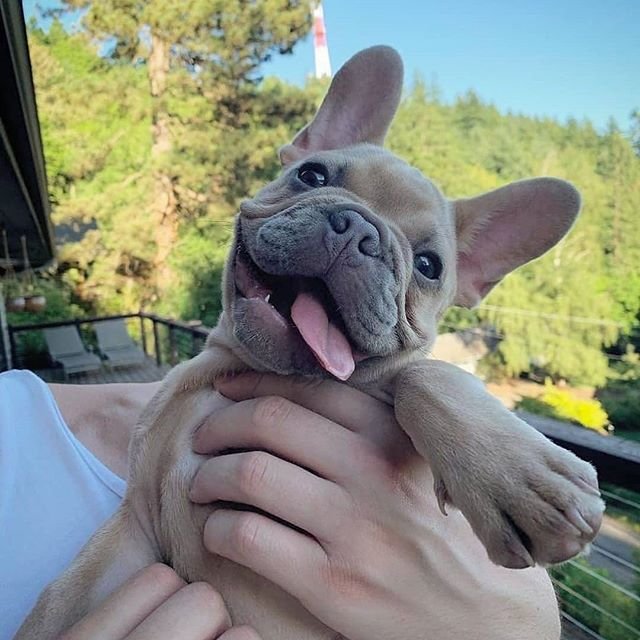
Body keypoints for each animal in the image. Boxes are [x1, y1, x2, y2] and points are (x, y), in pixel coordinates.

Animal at [17, 46, 604, 640]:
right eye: (311, 174)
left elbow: (428, 373)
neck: (253, 369)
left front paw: (521, 477)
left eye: (428, 266)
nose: (358, 229)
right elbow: (64, 596)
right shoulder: (134, 526)